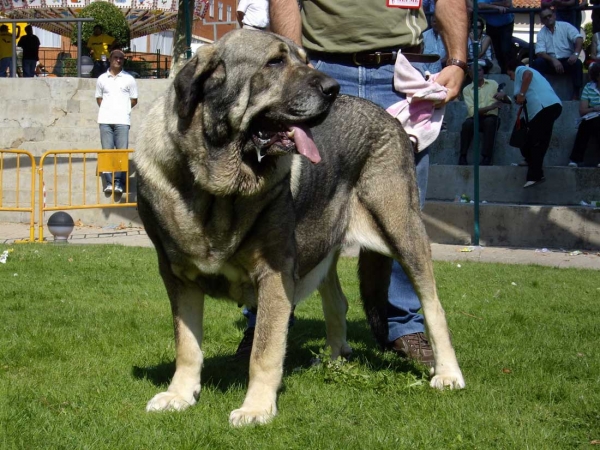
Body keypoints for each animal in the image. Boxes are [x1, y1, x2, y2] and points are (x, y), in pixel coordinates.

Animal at [136, 29, 464, 426]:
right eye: (275, 62)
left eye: (305, 60)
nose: (332, 88)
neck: (215, 186)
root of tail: (387, 117)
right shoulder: (177, 276)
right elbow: (186, 344)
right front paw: (179, 395)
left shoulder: (274, 273)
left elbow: (264, 349)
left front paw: (256, 407)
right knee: (337, 302)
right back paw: (336, 360)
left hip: (403, 230)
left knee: (433, 306)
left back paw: (448, 374)